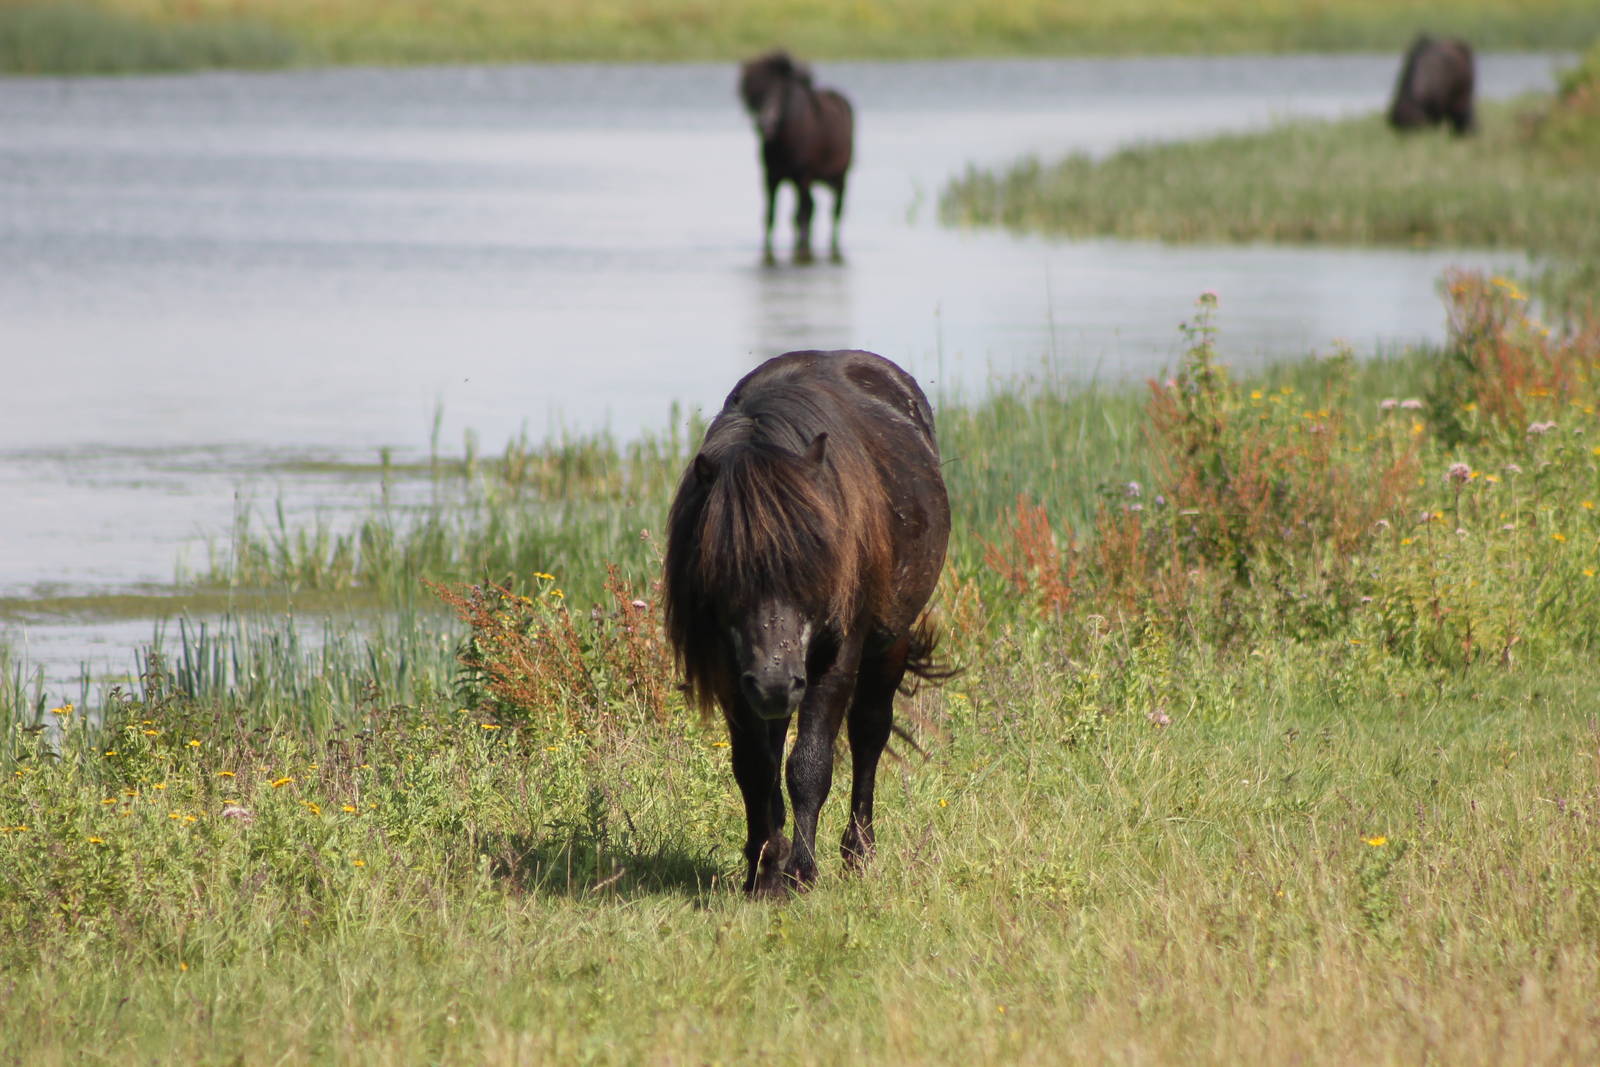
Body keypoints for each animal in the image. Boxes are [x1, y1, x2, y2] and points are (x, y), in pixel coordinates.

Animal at [663, 350, 951, 896]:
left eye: (815, 563)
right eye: (724, 573)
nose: (776, 683)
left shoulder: (835, 658)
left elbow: (810, 765)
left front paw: (800, 872)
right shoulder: (734, 675)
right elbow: (755, 769)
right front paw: (762, 872)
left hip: (889, 643)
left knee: (868, 734)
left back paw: (859, 852)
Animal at [737, 51, 854, 264]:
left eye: (782, 91)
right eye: (755, 94)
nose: (765, 123)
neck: (784, 145)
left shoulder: (802, 176)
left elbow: (800, 215)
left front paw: (800, 251)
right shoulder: (770, 176)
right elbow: (770, 216)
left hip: (840, 177)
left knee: (834, 211)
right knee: (812, 208)